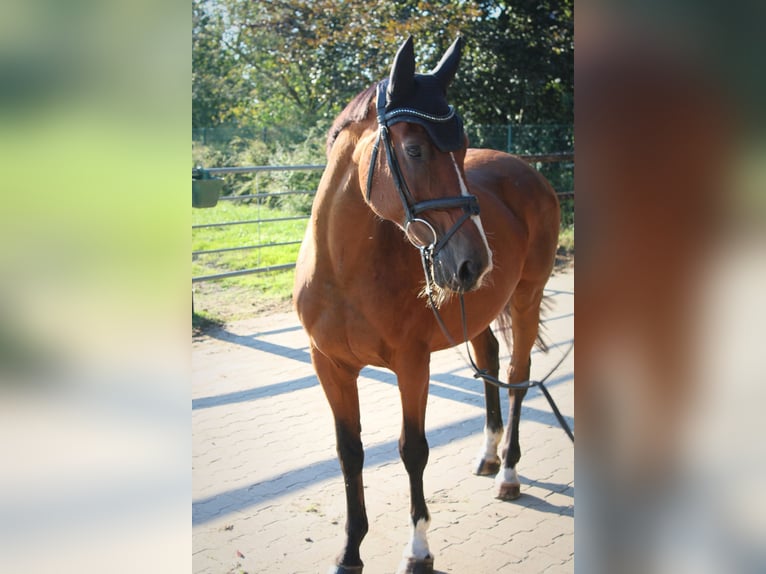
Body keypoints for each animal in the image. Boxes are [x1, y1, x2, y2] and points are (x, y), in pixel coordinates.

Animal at [292, 37, 560, 574]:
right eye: (414, 149)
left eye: (461, 148)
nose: (476, 262)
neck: (342, 274)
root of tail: (529, 172)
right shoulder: (329, 365)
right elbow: (350, 452)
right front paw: (350, 552)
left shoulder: (412, 366)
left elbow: (412, 449)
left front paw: (418, 549)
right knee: (490, 361)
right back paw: (489, 456)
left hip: (526, 298)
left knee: (517, 376)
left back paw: (509, 473)